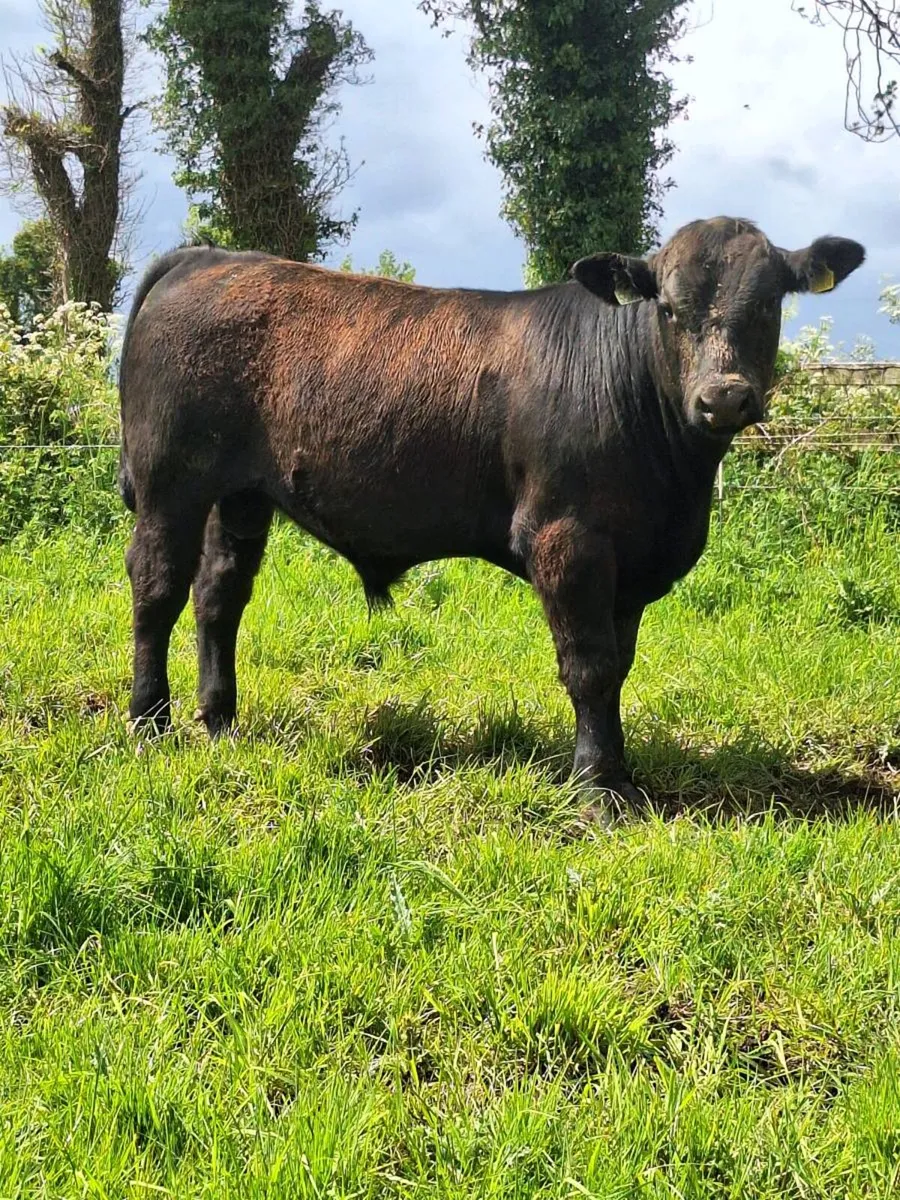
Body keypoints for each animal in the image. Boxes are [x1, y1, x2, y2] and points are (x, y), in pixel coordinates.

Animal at [118, 217, 864, 825]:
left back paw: (220, 721)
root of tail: (211, 257)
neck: (675, 485)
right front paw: (598, 792)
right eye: (671, 309)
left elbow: (617, 667)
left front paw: (619, 774)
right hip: (169, 483)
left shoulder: (629, 560)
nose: (724, 397)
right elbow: (589, 667)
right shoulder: (568, 540)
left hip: (240, 496)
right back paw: (149, 722)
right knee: (156, 588)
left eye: (767, 303)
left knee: (219, 594)